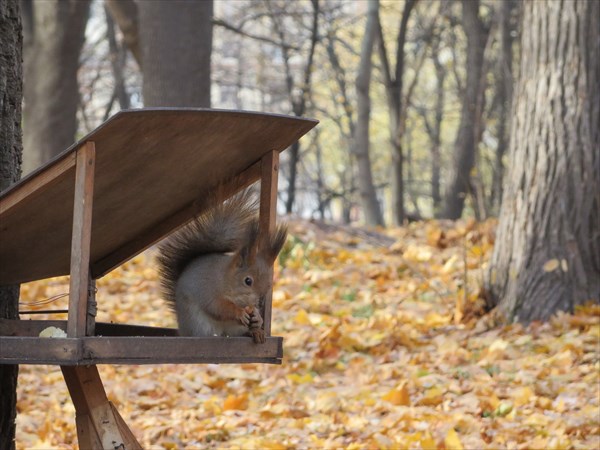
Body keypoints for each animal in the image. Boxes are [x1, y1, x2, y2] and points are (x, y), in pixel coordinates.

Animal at [155, 188, 286, 342]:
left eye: (269, 284)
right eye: (248, 281)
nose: (260, 303)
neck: (225, 278)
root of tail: (183, 330)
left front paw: (257, 318)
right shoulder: (209, 290)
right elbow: (218, 307)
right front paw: (239, 312)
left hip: (235, 329)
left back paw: (256, 332)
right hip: (198, 324)